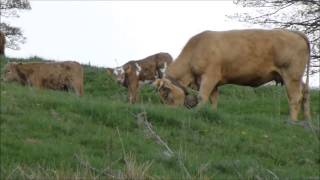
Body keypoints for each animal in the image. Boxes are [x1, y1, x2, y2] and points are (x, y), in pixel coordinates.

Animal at [154, 29, 312, 121]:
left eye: (166, 94)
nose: (169, 112)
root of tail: (295, 32)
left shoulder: (209, 76)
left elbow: (202, 97)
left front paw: (197, 113)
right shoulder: (214, 81)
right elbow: (213, 99)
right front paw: (212, 112)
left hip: (291, 75)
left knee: (295, 98)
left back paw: (292, 121)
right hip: (296, 77)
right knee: (305, 92)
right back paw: (307, 119)